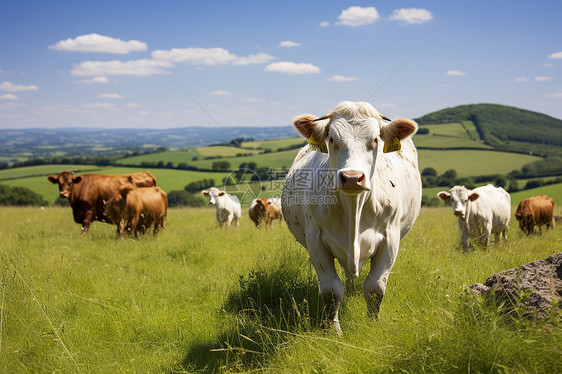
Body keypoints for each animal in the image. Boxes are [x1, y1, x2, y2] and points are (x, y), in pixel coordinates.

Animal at [280, 101, 420, 332]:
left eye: (374, 140)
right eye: (332, 139)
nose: (352, 178)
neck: (353, 208)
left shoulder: (390, 239)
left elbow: (375, 288)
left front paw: (373, 324)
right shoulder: (316, 239)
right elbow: (331, 291)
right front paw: (333, 330)